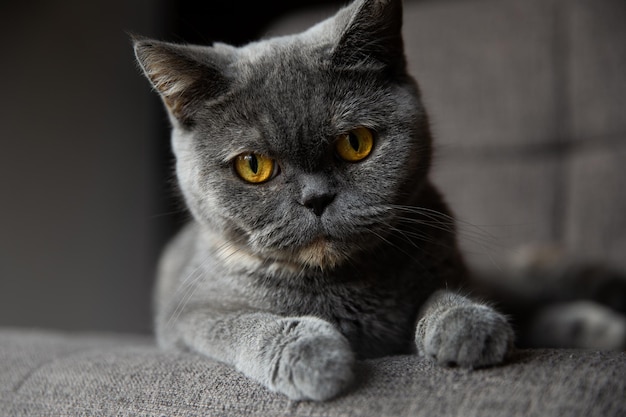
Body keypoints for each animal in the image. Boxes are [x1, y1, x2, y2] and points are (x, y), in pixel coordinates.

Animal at [132, 0, 512, 400]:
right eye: (253, 165)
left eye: (355, 143)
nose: (316, 199)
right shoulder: (190, 315)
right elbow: (240, 322)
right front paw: (313, 354)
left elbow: (440, 293)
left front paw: (467, 322)